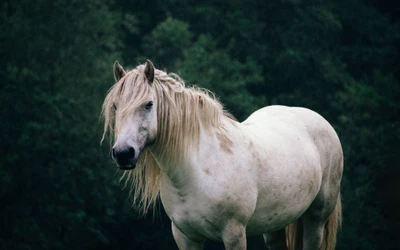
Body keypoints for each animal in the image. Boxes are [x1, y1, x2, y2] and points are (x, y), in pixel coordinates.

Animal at [101, 60, 342, 250]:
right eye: (115, 106)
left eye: (149, 104)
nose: (123, 153)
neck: (196, 171)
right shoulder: (186, 237)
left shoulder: (234, 234)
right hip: (274, 224)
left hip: (315, 219)